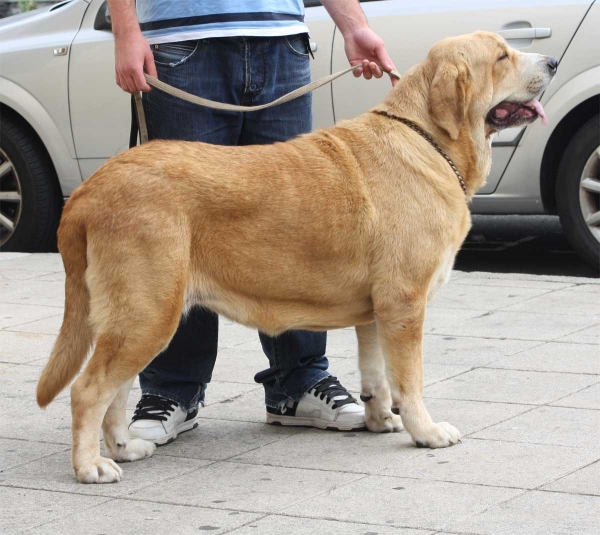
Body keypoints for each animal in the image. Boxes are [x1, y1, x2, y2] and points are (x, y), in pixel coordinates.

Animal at [35, 31, 556, 484]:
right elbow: (410, 381)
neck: (426, 138)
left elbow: (377, 376)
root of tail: (88, 189)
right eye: (502, 56)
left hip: (134, 318)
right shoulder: (405, 305)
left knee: (116, 389)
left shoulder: (377, 313)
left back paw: (124, 448)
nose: (551, 62)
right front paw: (424, 431)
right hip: (150, 313)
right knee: (89, 390)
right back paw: (91, 466)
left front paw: (379, 420)